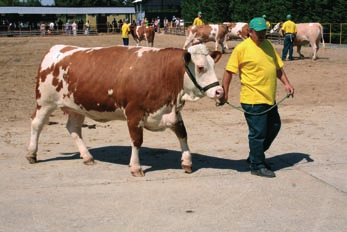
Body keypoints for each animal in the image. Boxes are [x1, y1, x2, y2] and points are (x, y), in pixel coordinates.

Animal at [25, 43, 224, 177]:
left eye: (213, 65)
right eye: (200, 67)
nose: (219, 91)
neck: (161, 73)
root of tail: (57, 48)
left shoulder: (171, 112)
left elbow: (183, 135)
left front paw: (187, 162)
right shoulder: (134, 114)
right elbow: (137, 141)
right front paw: (136, 167)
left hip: (76, 107)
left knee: (73, 128)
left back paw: (87, 156)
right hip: (45, 102)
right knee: (36, 124)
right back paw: (31, 153)